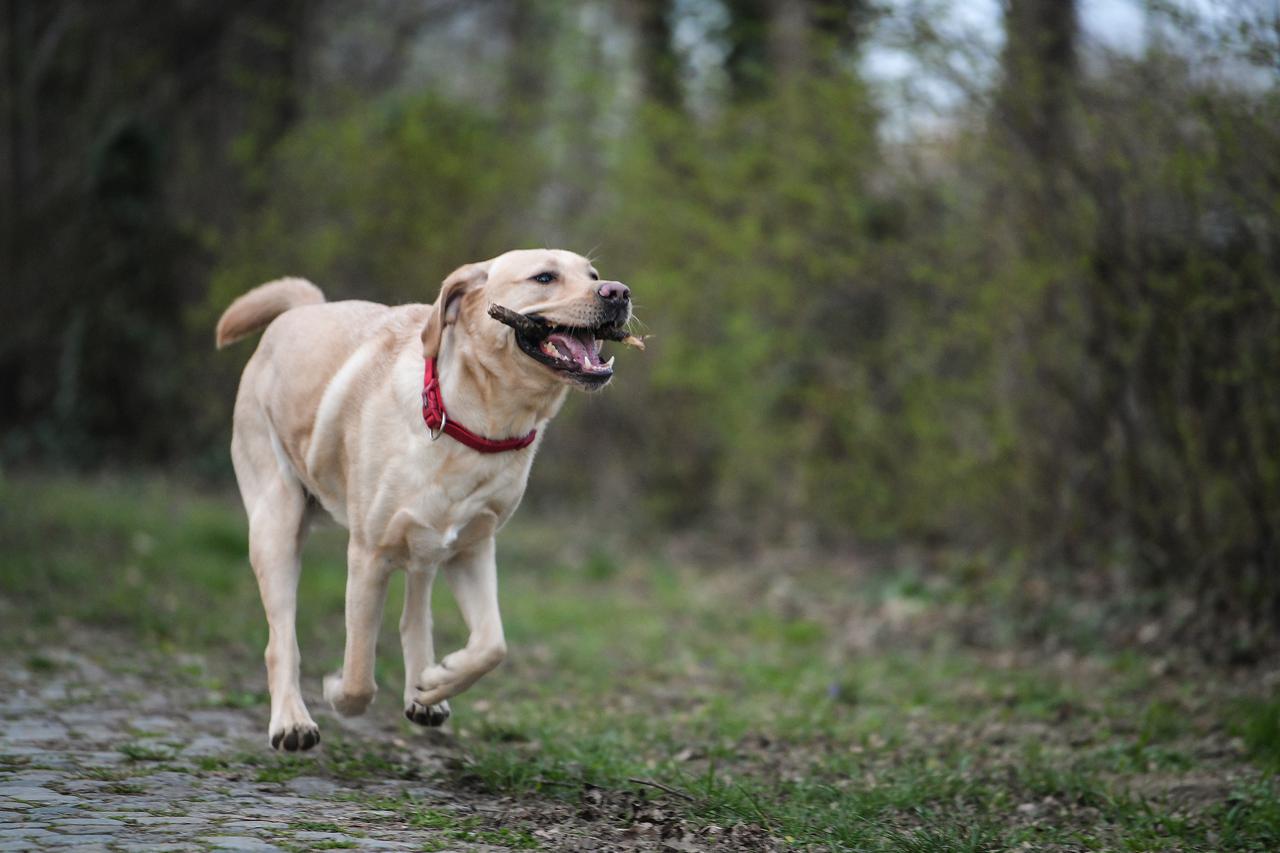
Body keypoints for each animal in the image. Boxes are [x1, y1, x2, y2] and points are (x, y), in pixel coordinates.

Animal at [217, 249, 632, 747]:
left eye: (593, 275)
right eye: (544, 277)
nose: (618, 292)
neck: (474, 426)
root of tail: (304, 307)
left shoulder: (473, 548)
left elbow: (492, 645)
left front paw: (438, 680)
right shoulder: (368, 556)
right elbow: (359, 673)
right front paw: (338, 692)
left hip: (428, 543)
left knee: (415, 614)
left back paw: (422, 690)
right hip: (276, 521)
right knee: (281, 637)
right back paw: (291, 721)